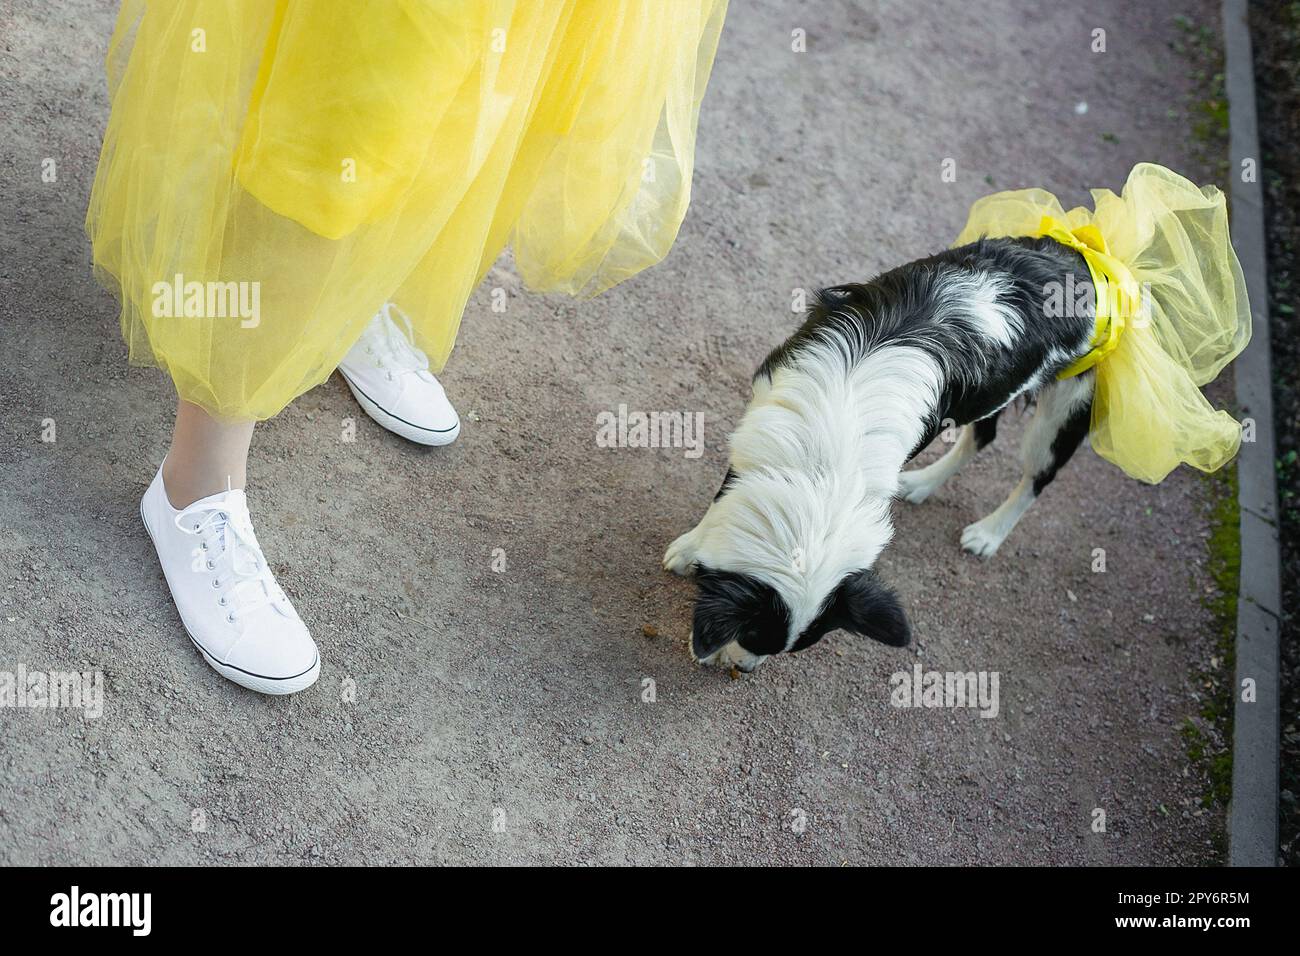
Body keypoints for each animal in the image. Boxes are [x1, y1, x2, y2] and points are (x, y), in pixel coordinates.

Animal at [665, 238, 1102, 671]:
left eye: (774, 645)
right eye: (754, 634)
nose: (745, 669)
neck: (825, 463)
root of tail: (1082, 256)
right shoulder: (763, 412)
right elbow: (725, 494)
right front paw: (691, 548)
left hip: (1067, 407)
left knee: (1037, 476)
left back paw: (989, 533)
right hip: (996, 391)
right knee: (984, 435)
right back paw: (924, 483)